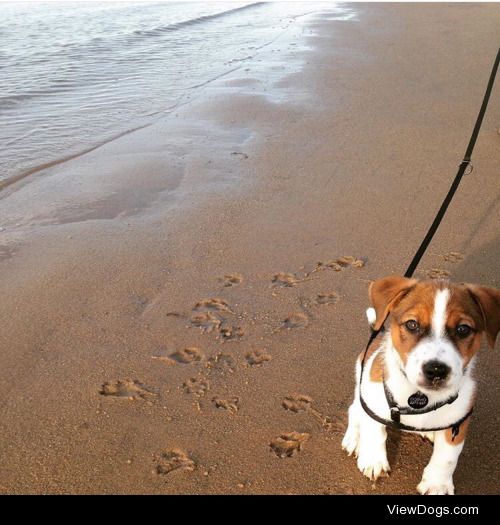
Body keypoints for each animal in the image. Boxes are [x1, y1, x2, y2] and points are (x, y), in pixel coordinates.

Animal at [344, 276, 500, 494]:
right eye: (412, 324)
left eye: (463, 329)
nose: (436, 370)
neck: (419, 396)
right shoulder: (372, 400)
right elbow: (374, 433)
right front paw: (373, 460)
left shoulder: (458, 423)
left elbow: (447, 458)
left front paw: (437, 483)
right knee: (354, 410)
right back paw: (353, 438)